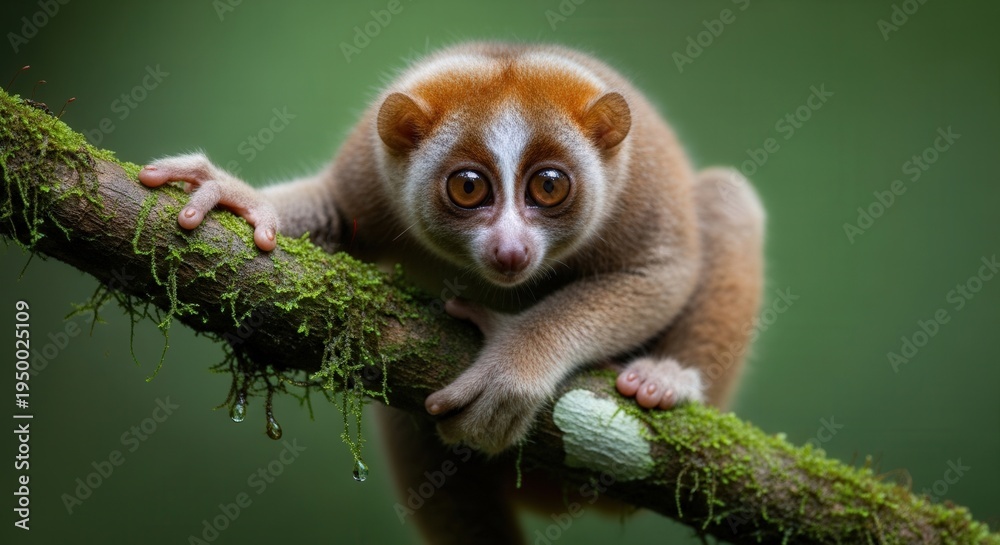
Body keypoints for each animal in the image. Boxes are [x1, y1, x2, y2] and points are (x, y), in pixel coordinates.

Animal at [138, 42, 764, 544]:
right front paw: (241, 197)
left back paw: (666, 380)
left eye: (549, 185)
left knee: (728, 198)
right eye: (467, 188)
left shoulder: (641, 188)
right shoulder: (368, 172)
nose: (511, 251)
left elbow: (658, 276)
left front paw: (514, 363)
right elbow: (335, 212)